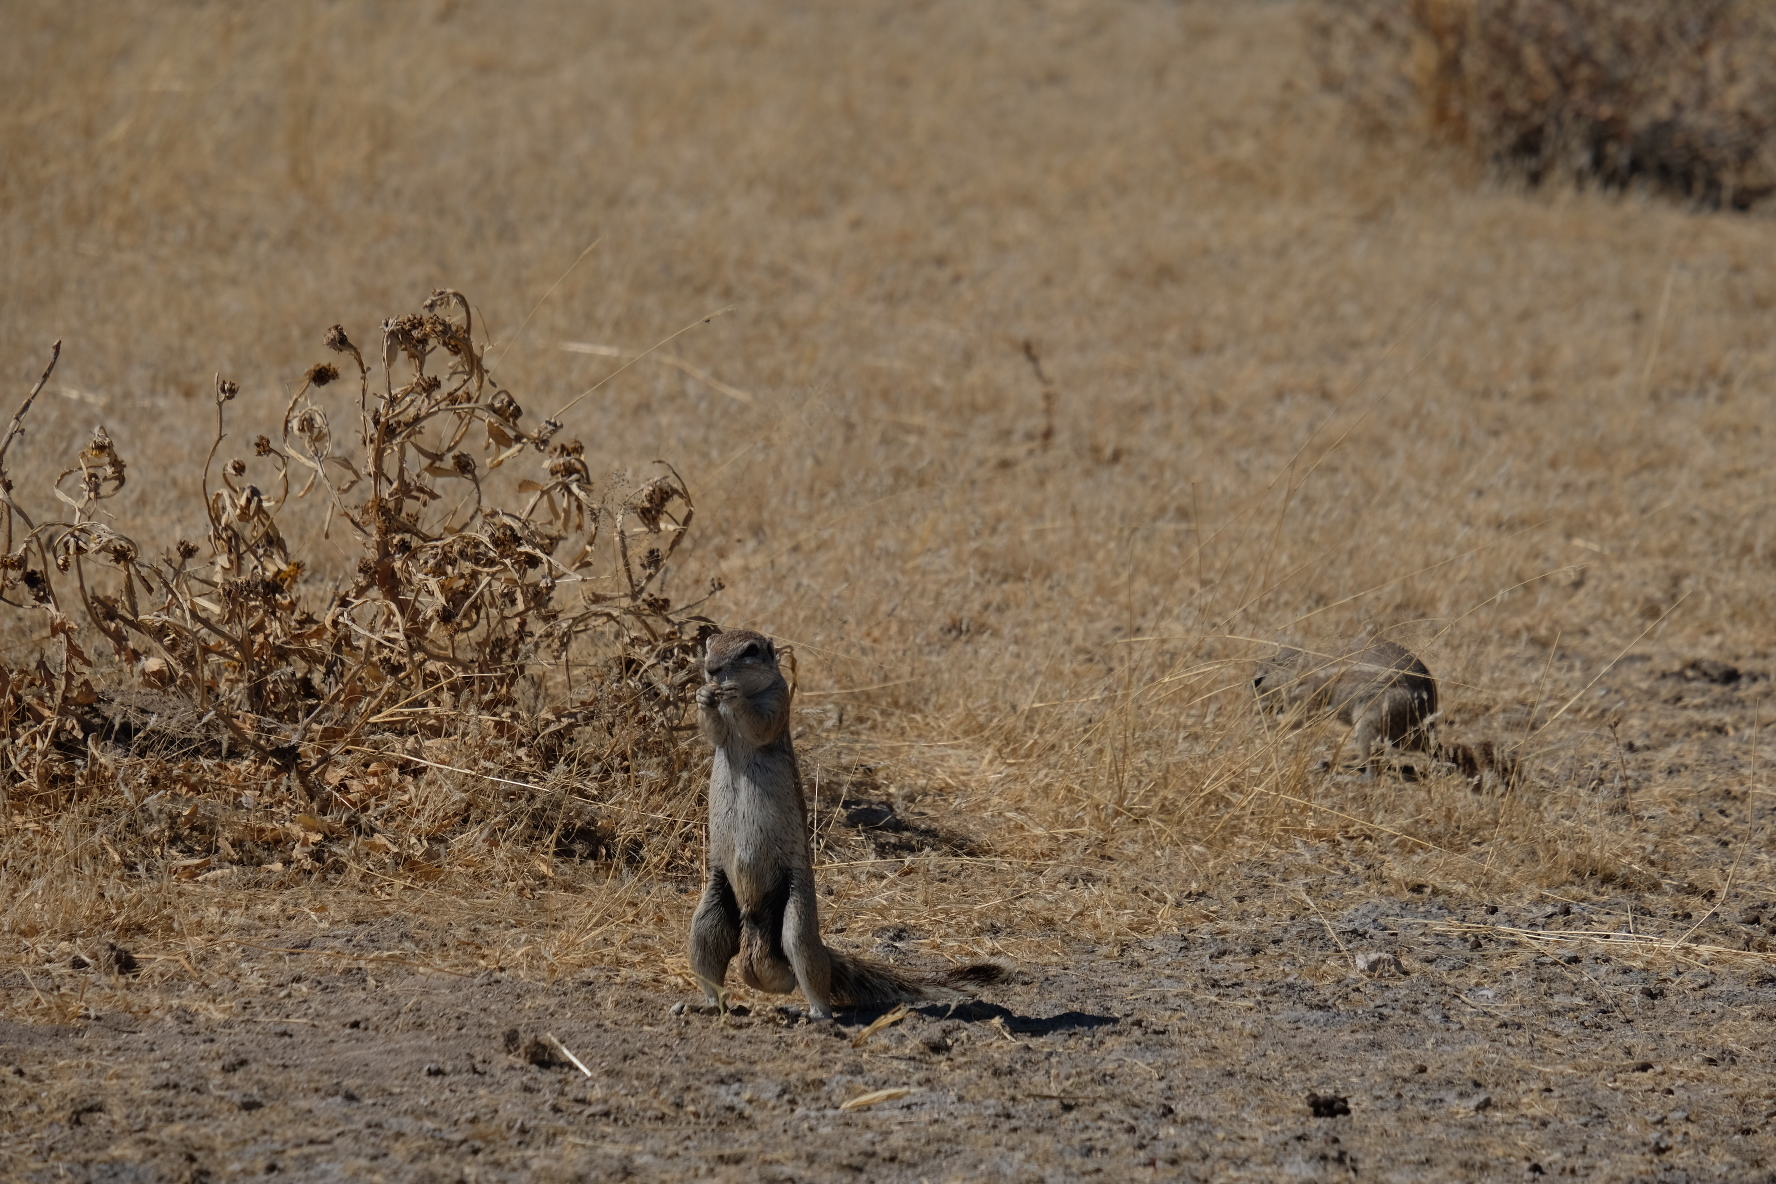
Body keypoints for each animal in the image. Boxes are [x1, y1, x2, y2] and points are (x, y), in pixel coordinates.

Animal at [685, 628, 1008, 1022]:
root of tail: (756, 925)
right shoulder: (722, 732)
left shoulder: (779, 702)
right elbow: (712, 733)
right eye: (710, 645)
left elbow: (759, 725)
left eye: (750, 650)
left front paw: (731, 695)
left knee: (807, 969)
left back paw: (812, 1014)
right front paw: (703, 696)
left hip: (797, 920)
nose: (712, 670)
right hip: (709, 917)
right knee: (712, 964)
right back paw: (704, 1006)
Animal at [1250, 635, 1442, 773]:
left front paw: (1268, 725)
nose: (1254, 703)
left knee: (1372, 769)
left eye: (1258, 681)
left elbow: (1295, 720)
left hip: (1370, 720)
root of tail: (1428, 718)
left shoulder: (1309, 697)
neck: (1301, 669)